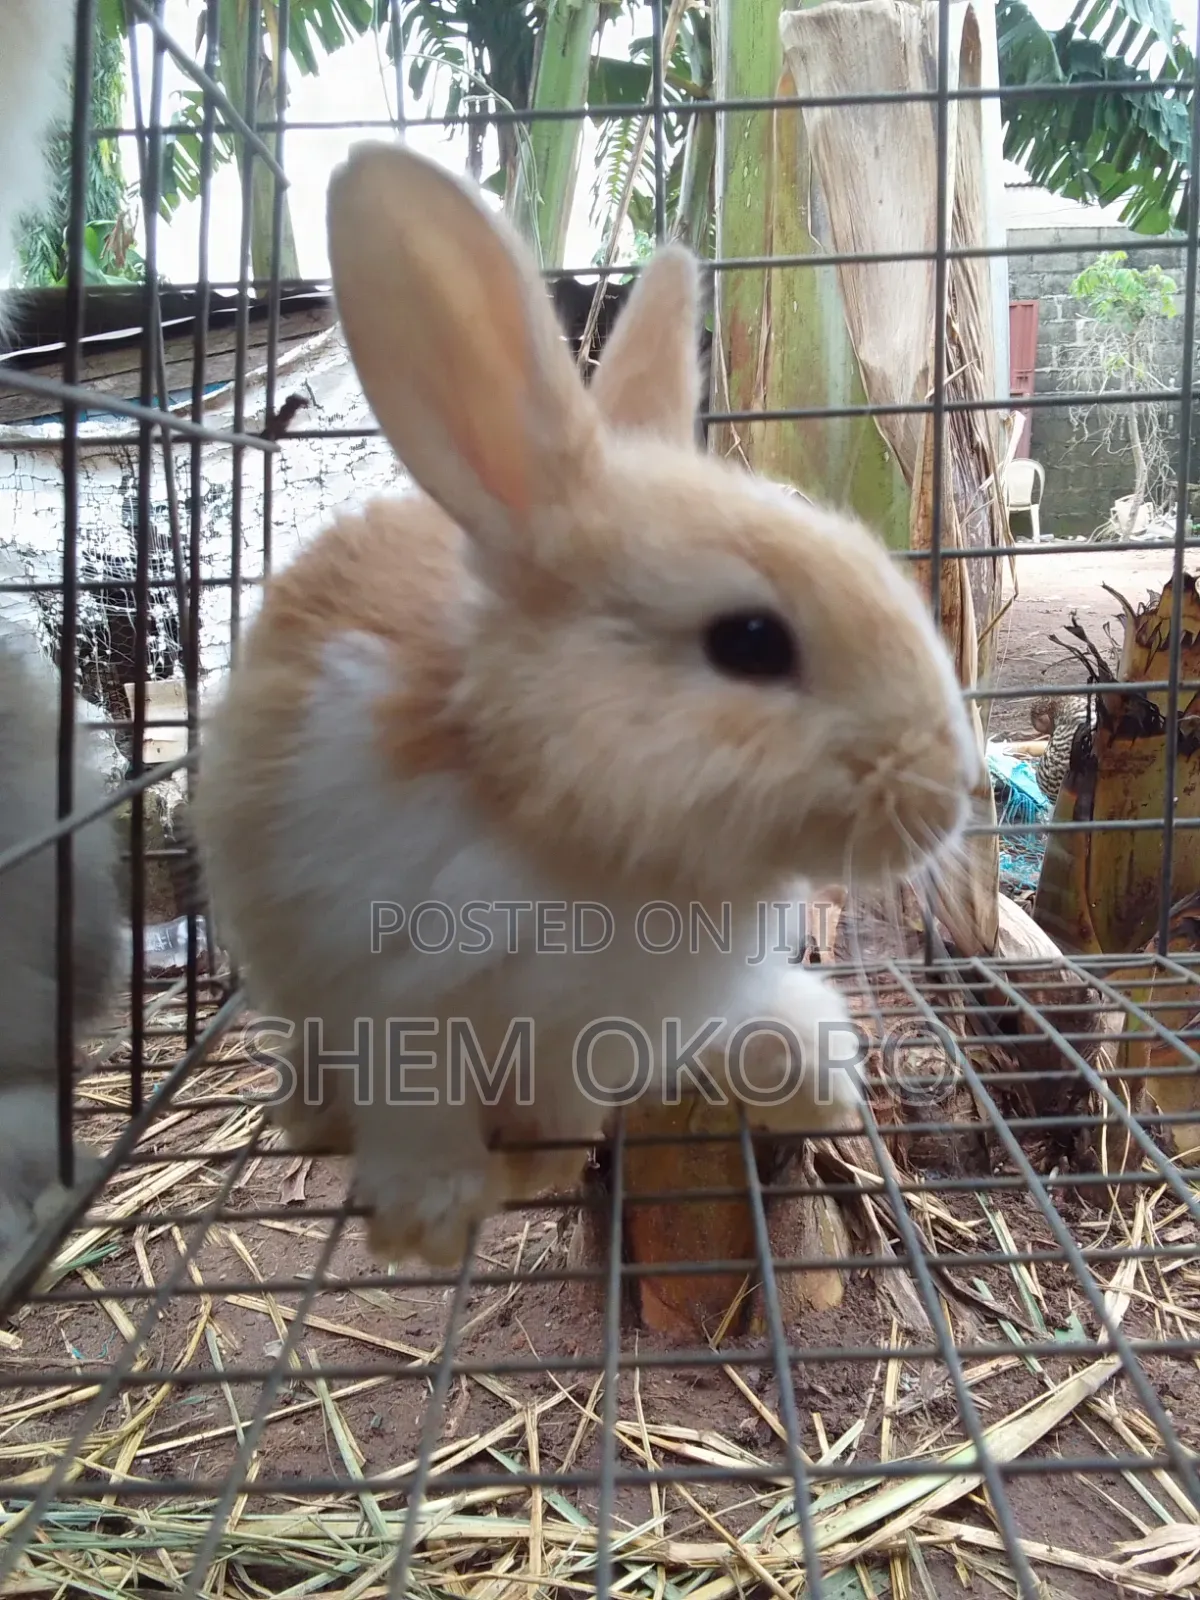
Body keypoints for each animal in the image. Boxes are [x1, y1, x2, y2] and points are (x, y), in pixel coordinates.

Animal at [193, 140, 980, 1270]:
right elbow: (418, 1113)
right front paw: (432, 1221)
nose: (951, 792)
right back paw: (310, 1116)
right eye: (750, 642)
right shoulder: (393, 1003)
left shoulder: (626, 1027)